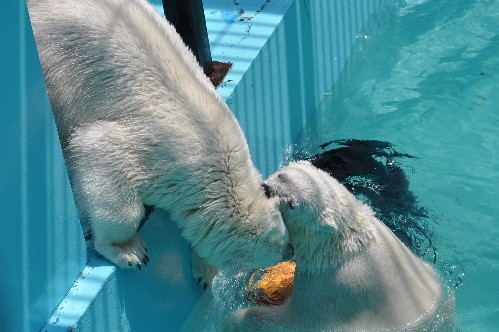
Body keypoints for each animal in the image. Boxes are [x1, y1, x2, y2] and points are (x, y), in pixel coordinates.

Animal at [27, 0, 292, 276]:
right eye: (279, 251)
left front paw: (203, 272)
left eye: (285, 236)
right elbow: (100, 153)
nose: (292, 250)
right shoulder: (153, 150)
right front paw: (128, 250)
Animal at [227, 160, 458, 330]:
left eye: (293, 204)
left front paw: (237, 317)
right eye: (282, 176)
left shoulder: (328, 289)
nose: (266, 189)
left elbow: (290, 320)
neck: (344, 243)